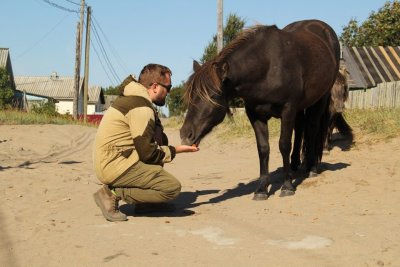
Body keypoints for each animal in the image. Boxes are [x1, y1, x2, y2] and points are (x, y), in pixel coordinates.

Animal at [180, 20, 340, 201]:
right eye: (190, 95)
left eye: (213, 96)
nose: (185, 134)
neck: (267, 67)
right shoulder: (255, 115)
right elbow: (263, 148)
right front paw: (262, 189)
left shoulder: (288, 109)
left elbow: (284, 145)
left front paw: (287, 186)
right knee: (300, 129)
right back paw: (295, 165)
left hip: (321, 99)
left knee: (312, 128)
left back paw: (311, 168)